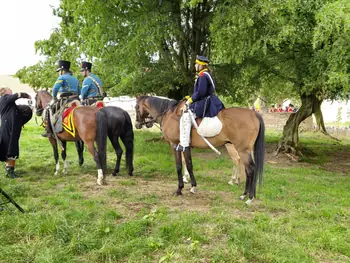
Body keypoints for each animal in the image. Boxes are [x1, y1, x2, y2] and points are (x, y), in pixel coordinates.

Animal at [135, 96, 264, 204]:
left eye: (136, 107)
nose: (137, 124)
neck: (169, 114)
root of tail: (253, 114)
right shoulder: (186, 147)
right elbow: (189, 164)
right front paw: (191, 186)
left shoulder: (175, 145)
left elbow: (180, 166)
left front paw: (180, 189)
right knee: (248, 169)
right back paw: (245, 194)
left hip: (242, 150)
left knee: (250, 170)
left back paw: (249, 197)